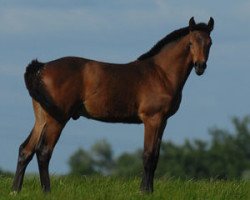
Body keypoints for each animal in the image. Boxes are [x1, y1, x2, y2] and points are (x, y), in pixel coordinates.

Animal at [12, 16, 214, 192]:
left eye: (209, 43)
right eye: (191, 43)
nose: (200, 66)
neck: (160, 73)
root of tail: (42, 67)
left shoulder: (163, 121)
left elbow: (155, 156)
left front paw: (149, 190)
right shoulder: (152, 119)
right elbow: (148, 155)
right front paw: (145, 191)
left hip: (42, 118)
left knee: (26, 150)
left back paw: (16, 190)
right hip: (57, 119)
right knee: (43, 152)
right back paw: (47, 191)